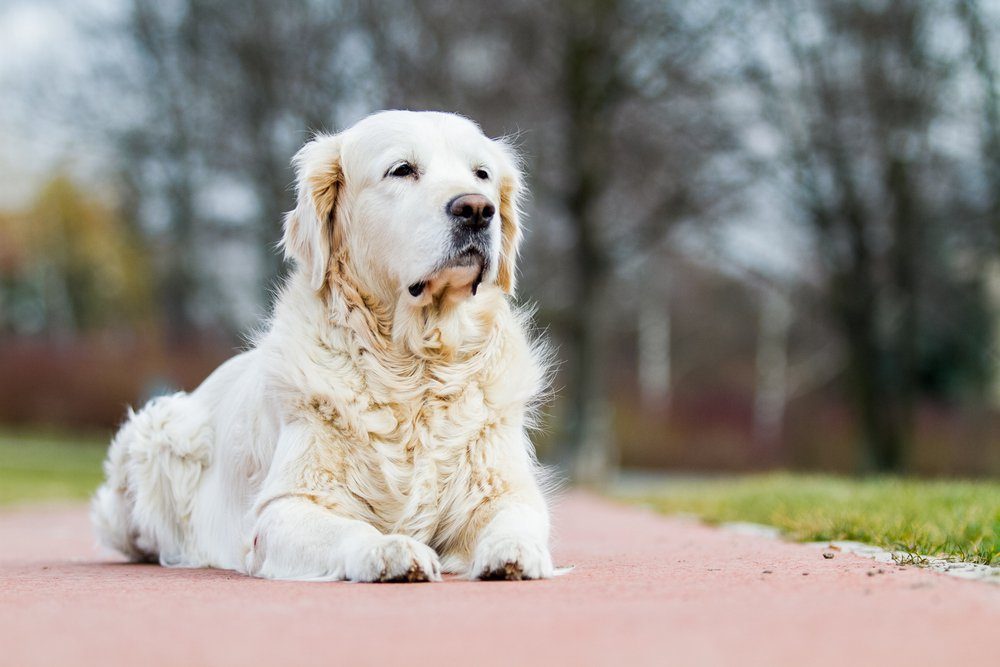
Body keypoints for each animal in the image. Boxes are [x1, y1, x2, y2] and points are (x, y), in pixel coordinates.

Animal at [91, 112, 556, 580]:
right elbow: (350, 529)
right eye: (402, 169)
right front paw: (389, 549)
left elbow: (516, 517)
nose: (477, 209)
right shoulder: (284, 506)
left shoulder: (505, 488)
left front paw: (514, 550)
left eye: (482, 174)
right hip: (161, 430)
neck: (413, 366)